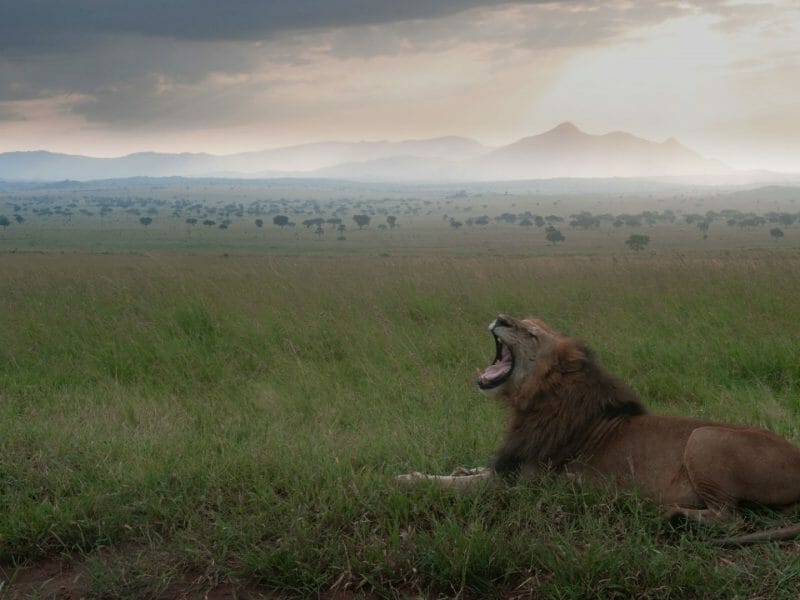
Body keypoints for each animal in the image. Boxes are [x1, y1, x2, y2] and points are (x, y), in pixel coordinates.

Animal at [398, 314, 800, 545]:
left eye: (531, 334)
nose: (500, 317)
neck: (530, 403)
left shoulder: (521, 484)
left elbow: (454, 486)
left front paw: (407, 479)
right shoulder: (510, 465)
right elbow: (471, 470)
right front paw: (457, 468)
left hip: (705, 437)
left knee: (731, 518)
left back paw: (669, 515)